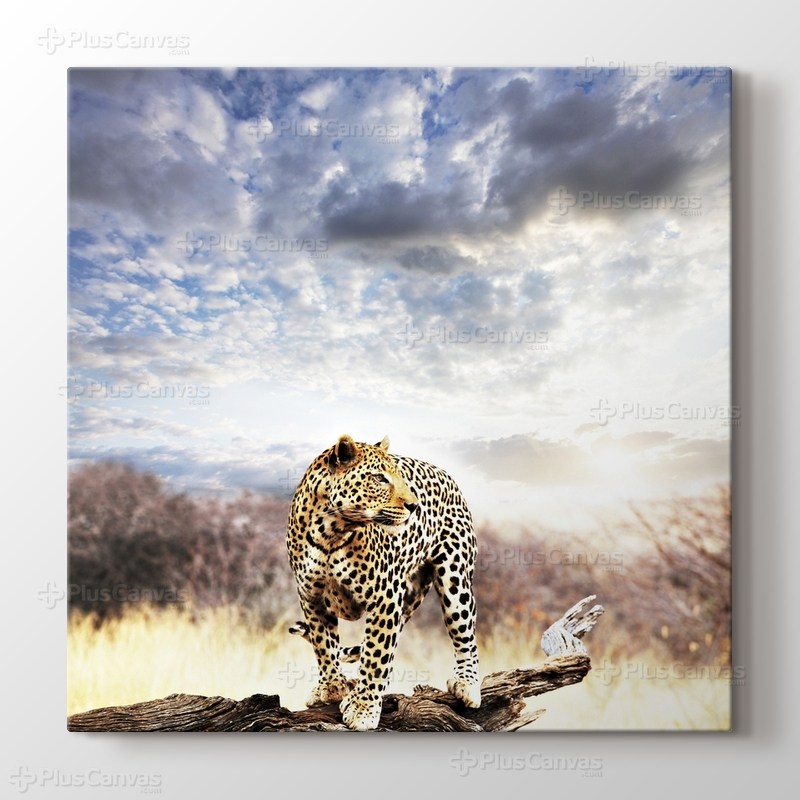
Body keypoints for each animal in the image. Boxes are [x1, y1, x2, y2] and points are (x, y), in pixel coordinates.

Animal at [286, 434, 481, 731]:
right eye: (379, 478)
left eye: (399, 476)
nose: (414, 506)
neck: (330, 532)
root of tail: (446, 475)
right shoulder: (311, 596)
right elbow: (324, 644)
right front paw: (332, 686)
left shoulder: (384, 596)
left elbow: (376, 654)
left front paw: (363, 709)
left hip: (455, 577)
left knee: (465, 633)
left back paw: (467, 683)